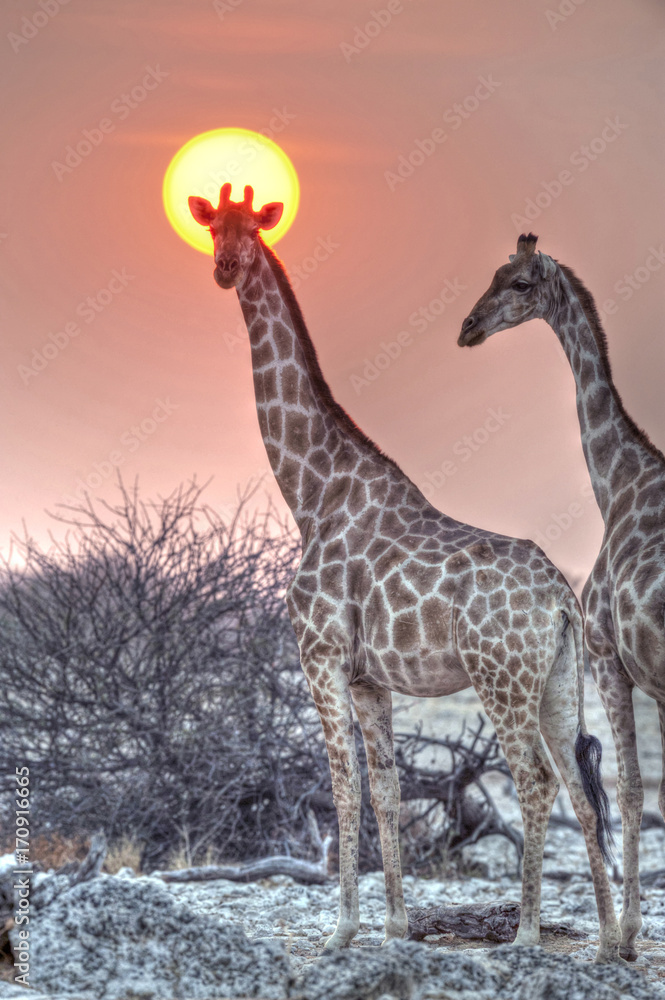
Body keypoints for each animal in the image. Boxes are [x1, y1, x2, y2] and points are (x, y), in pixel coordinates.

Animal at [188, 187, 621, 961]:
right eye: (212, 228)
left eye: (250, 230)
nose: (225, 268)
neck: (310, 492)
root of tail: (560, 600)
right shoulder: (369, 677)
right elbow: (387, 791)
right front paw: (394, 927)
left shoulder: (321, 656)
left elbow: (343, 788)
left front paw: (341, 930)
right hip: (559, 677)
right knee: (578, 784)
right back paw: (603, 943)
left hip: (500, 676)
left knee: (536, 778)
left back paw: (524, 934)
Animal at [458, 232, 665, 961]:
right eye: (492, 274)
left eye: (519, 283)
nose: (467, 327)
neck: (617, 483)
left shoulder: (609, 660)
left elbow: (628, 792)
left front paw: (623, 938)